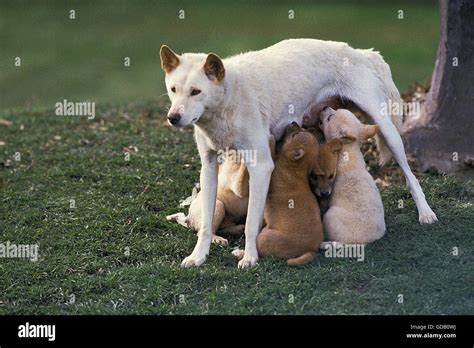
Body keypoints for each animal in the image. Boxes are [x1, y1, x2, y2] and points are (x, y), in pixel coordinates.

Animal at [234, 123, 324, 266]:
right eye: (300, 130)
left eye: (295, 135)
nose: (293, 122)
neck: (296, 168)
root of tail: (309, 251)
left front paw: (270, 140)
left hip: (264, 236)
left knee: (259, 250)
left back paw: (241, 254)